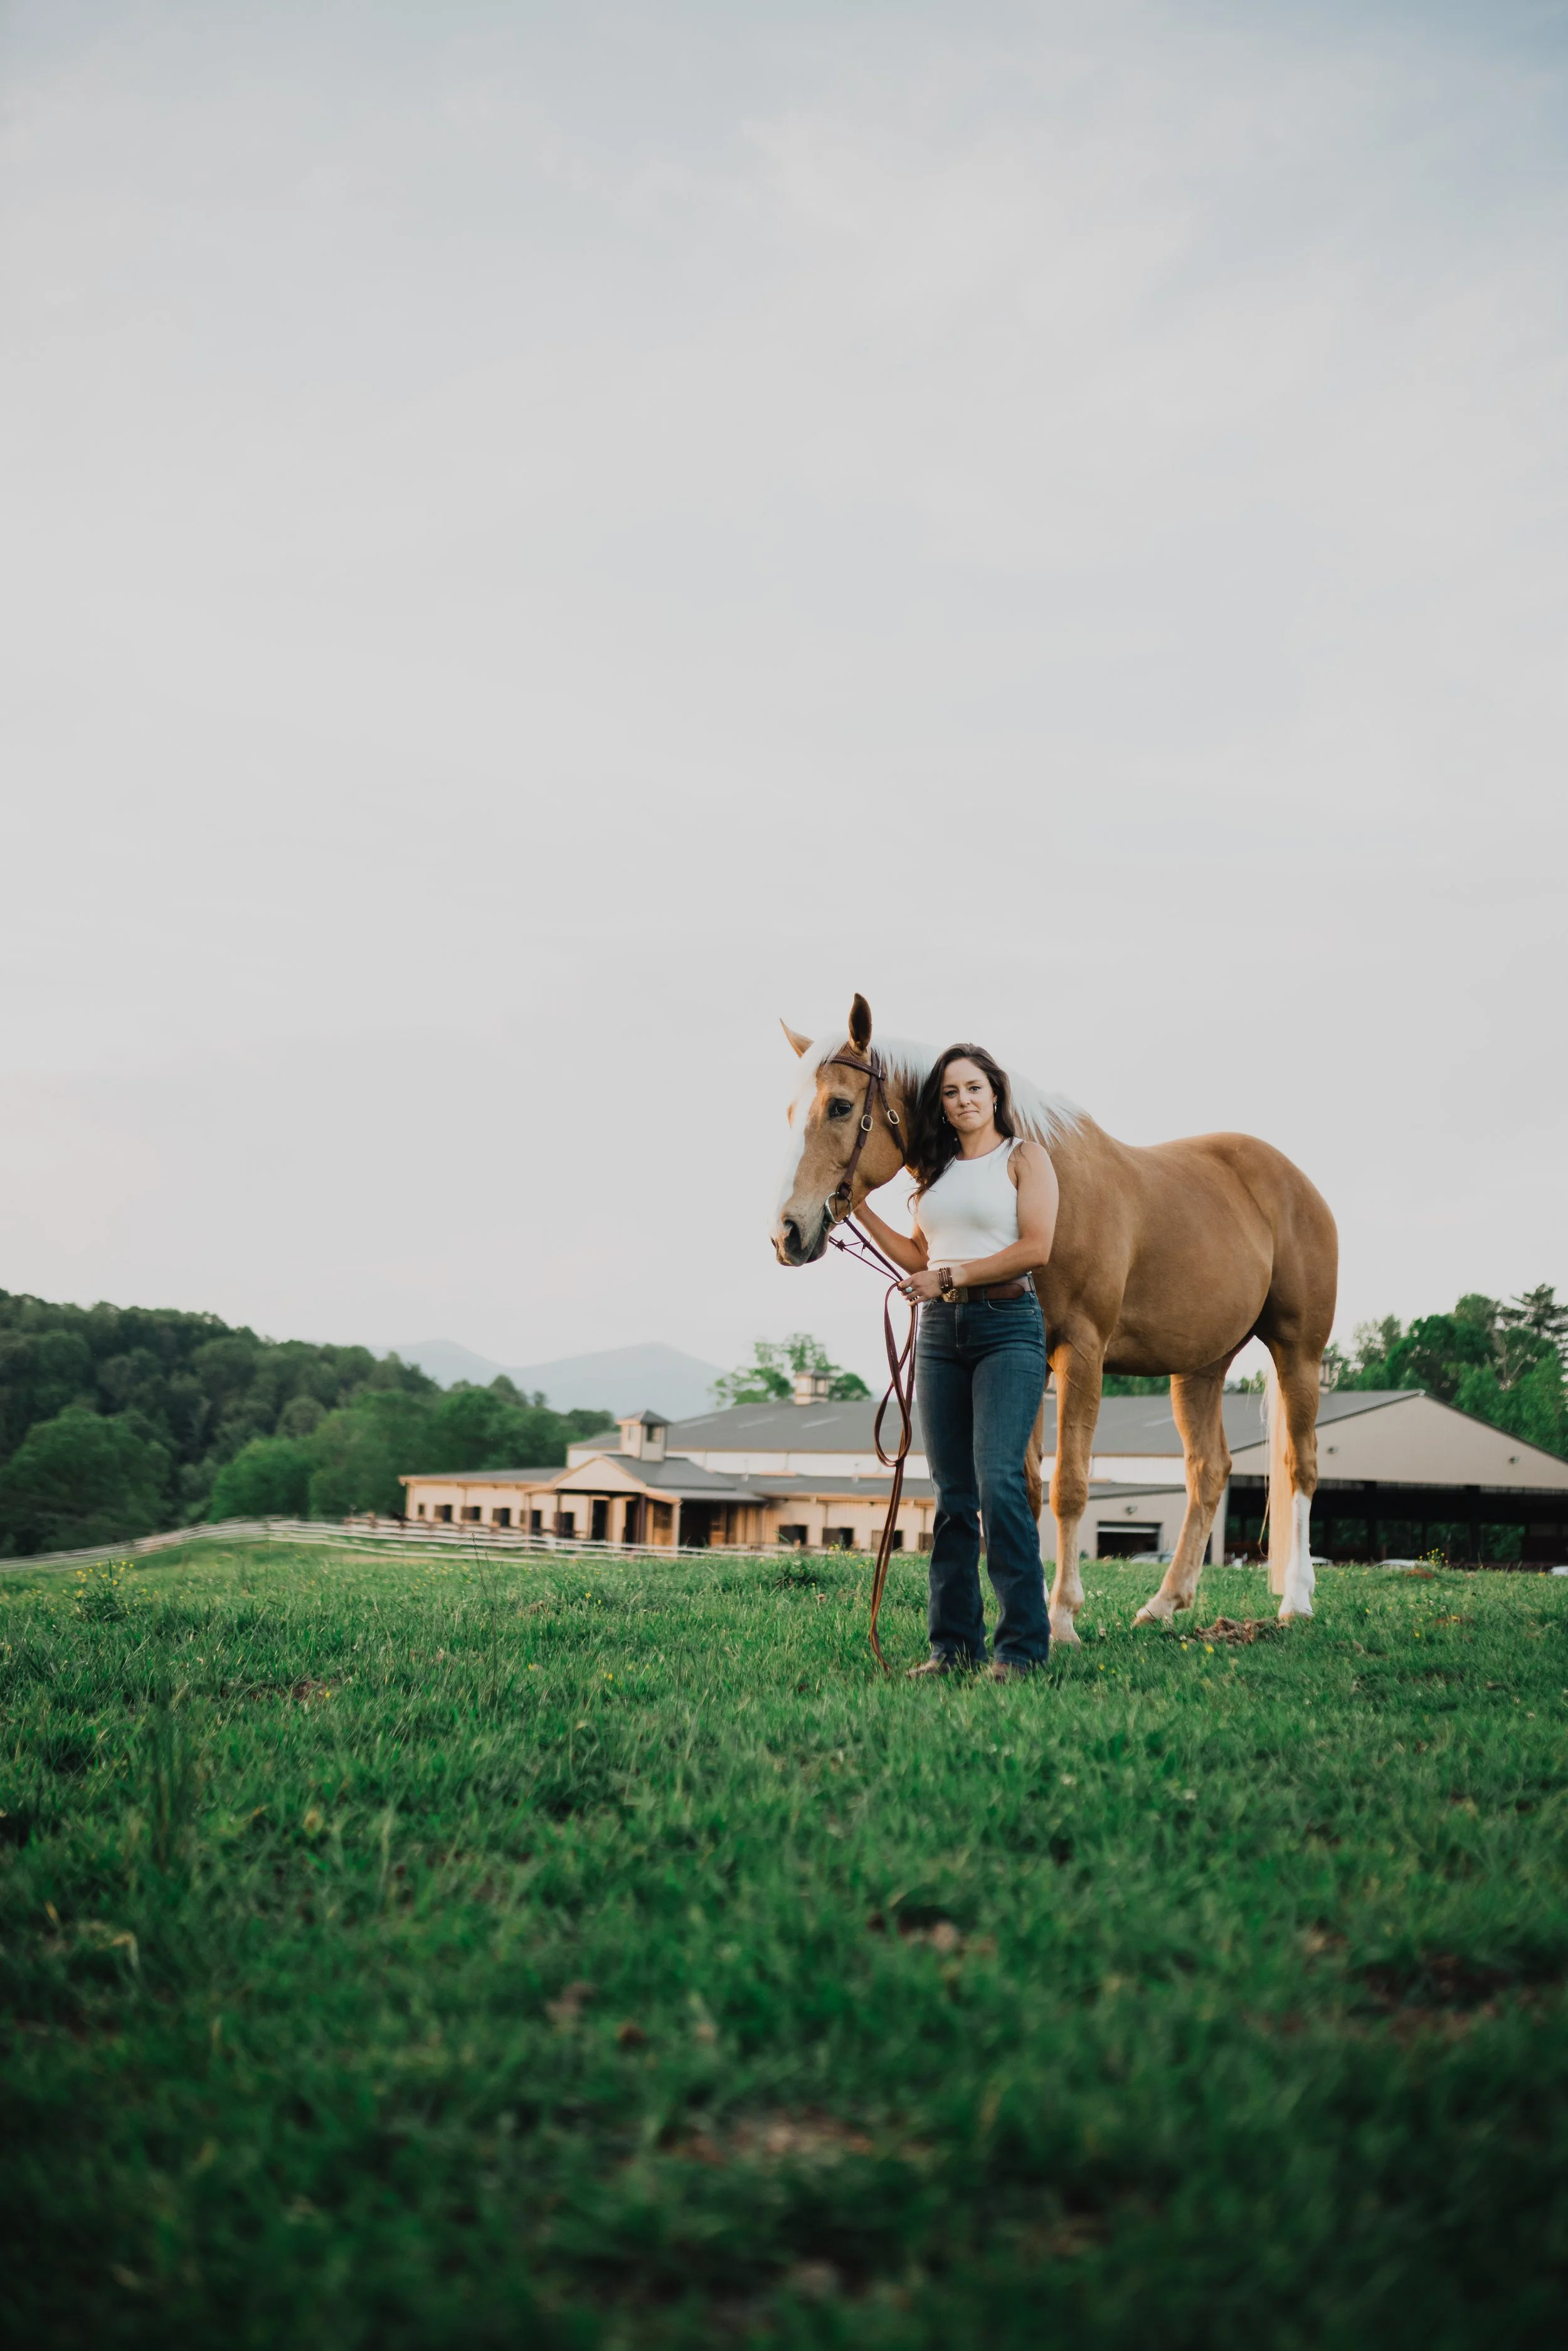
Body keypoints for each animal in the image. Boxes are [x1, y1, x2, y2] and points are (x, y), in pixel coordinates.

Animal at [772, 995, 1337, 1638]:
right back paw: (1165, 1603)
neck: (1053, 1186)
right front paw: (1035, 1607)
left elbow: (1070, 1485)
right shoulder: (1031, 1361)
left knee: (1300, 1466)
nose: (787, 1231)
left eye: (841, 1106)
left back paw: (1296, 1601)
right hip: (1201, 1366)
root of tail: (1295, 1183)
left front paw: (1064, 1615)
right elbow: (1027, 1487)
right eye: (791, 1111)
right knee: (1208, 1470)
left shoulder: (1081, 1354)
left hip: (1298, 1350)